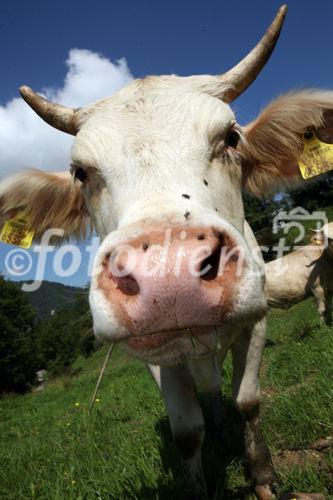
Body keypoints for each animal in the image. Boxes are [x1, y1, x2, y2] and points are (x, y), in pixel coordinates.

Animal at [0, 4, 332, 500]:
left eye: (231, 138)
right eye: (80, 172)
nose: (168, 276)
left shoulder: (256, 319)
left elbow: (249, 402)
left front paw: (263, 476)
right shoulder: (154, 358)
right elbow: (187, 431)